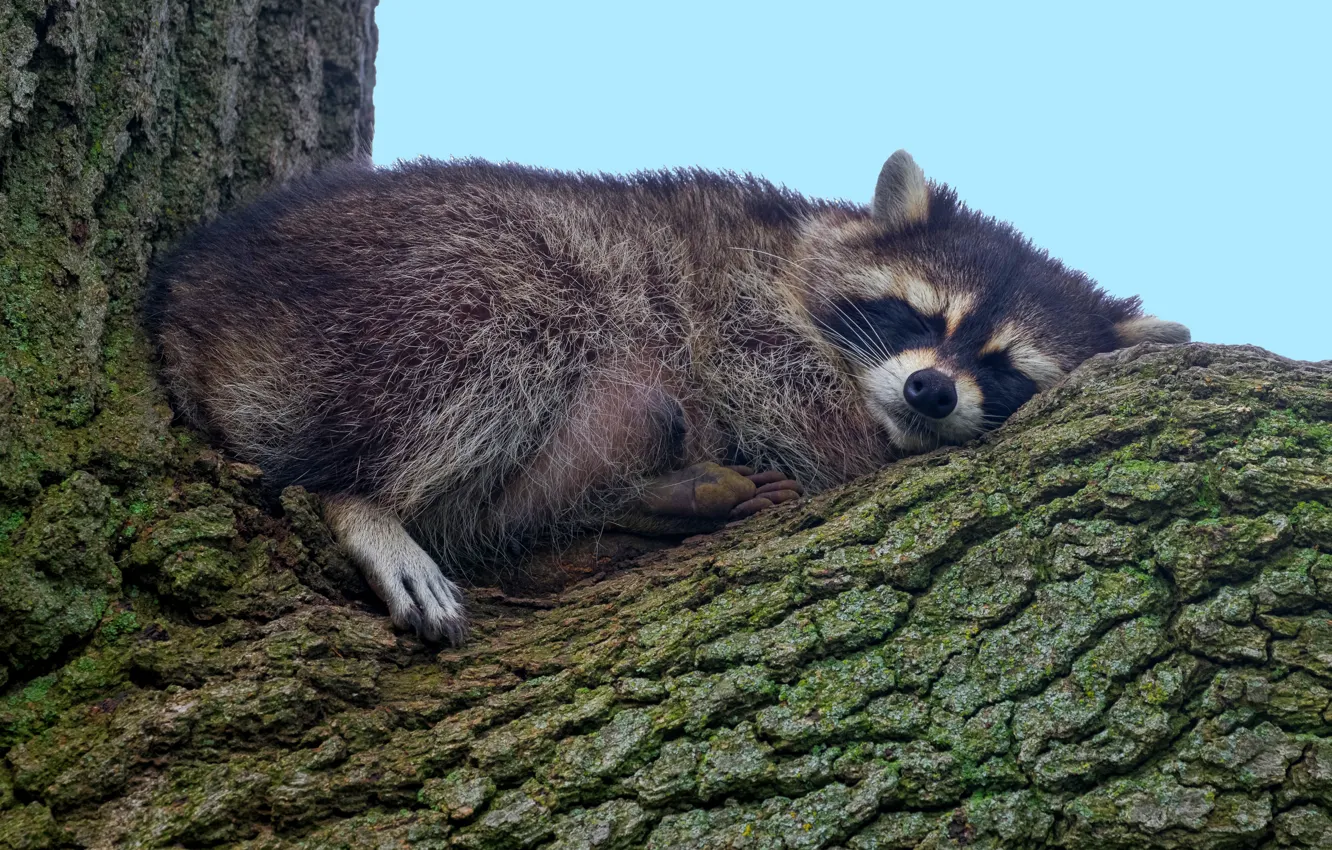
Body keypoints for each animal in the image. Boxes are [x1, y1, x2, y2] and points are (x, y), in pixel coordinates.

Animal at [149, 151, 1189, 642]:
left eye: (1005, 368)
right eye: (918, 315)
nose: (932, 390)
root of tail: (191, 299)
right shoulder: (737, 305)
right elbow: (782, 392)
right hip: (431, 285)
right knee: (509, 329)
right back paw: (366, 499)